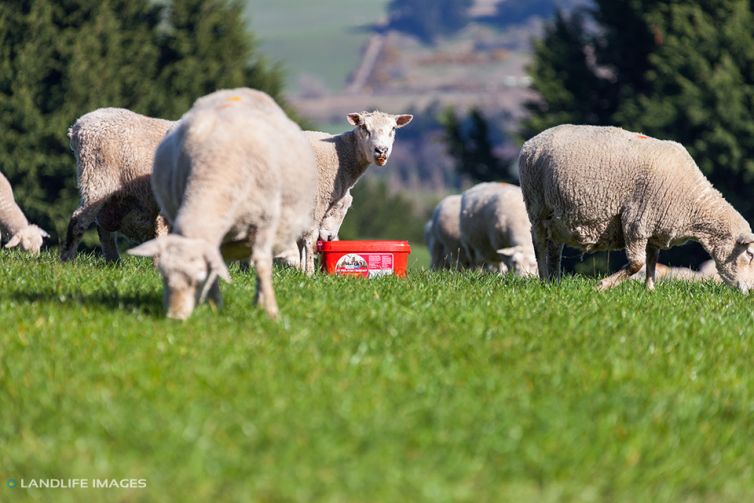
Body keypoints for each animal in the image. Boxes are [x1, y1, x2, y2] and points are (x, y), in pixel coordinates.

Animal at [60, 108, 172, 262]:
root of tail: (78, 127)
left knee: (104, 231)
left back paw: (114, 262)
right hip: (97, 178)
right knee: (79, 221)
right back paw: (67, 260)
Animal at [128, 87, 316, 318]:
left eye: (197, 279)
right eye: (164, 276)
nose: (175, 317)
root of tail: (239, 90)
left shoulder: (264, 223)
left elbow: (262, 265)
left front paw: (270, 311)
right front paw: (215, 304)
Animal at [298, 112, 414, 274]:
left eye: (393, 128)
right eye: (364, 127)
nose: (381, 150)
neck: (340, 154)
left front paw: (300, 271)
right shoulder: (317, 199)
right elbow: (310, 237)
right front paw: (309, 273)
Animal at [516, 123, 754, 294]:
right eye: (750, 254)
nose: (750, 292)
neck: (693, 204)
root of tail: (532, 142)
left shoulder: (655, 227)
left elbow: (651, 261)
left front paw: (650, 290)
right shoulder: (636, 221)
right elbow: (637, 263)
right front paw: (602, 286)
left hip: (557, 217)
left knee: (555, 247)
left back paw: (554, 281)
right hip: (537, 204)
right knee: (539, 242)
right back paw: (544, 279)